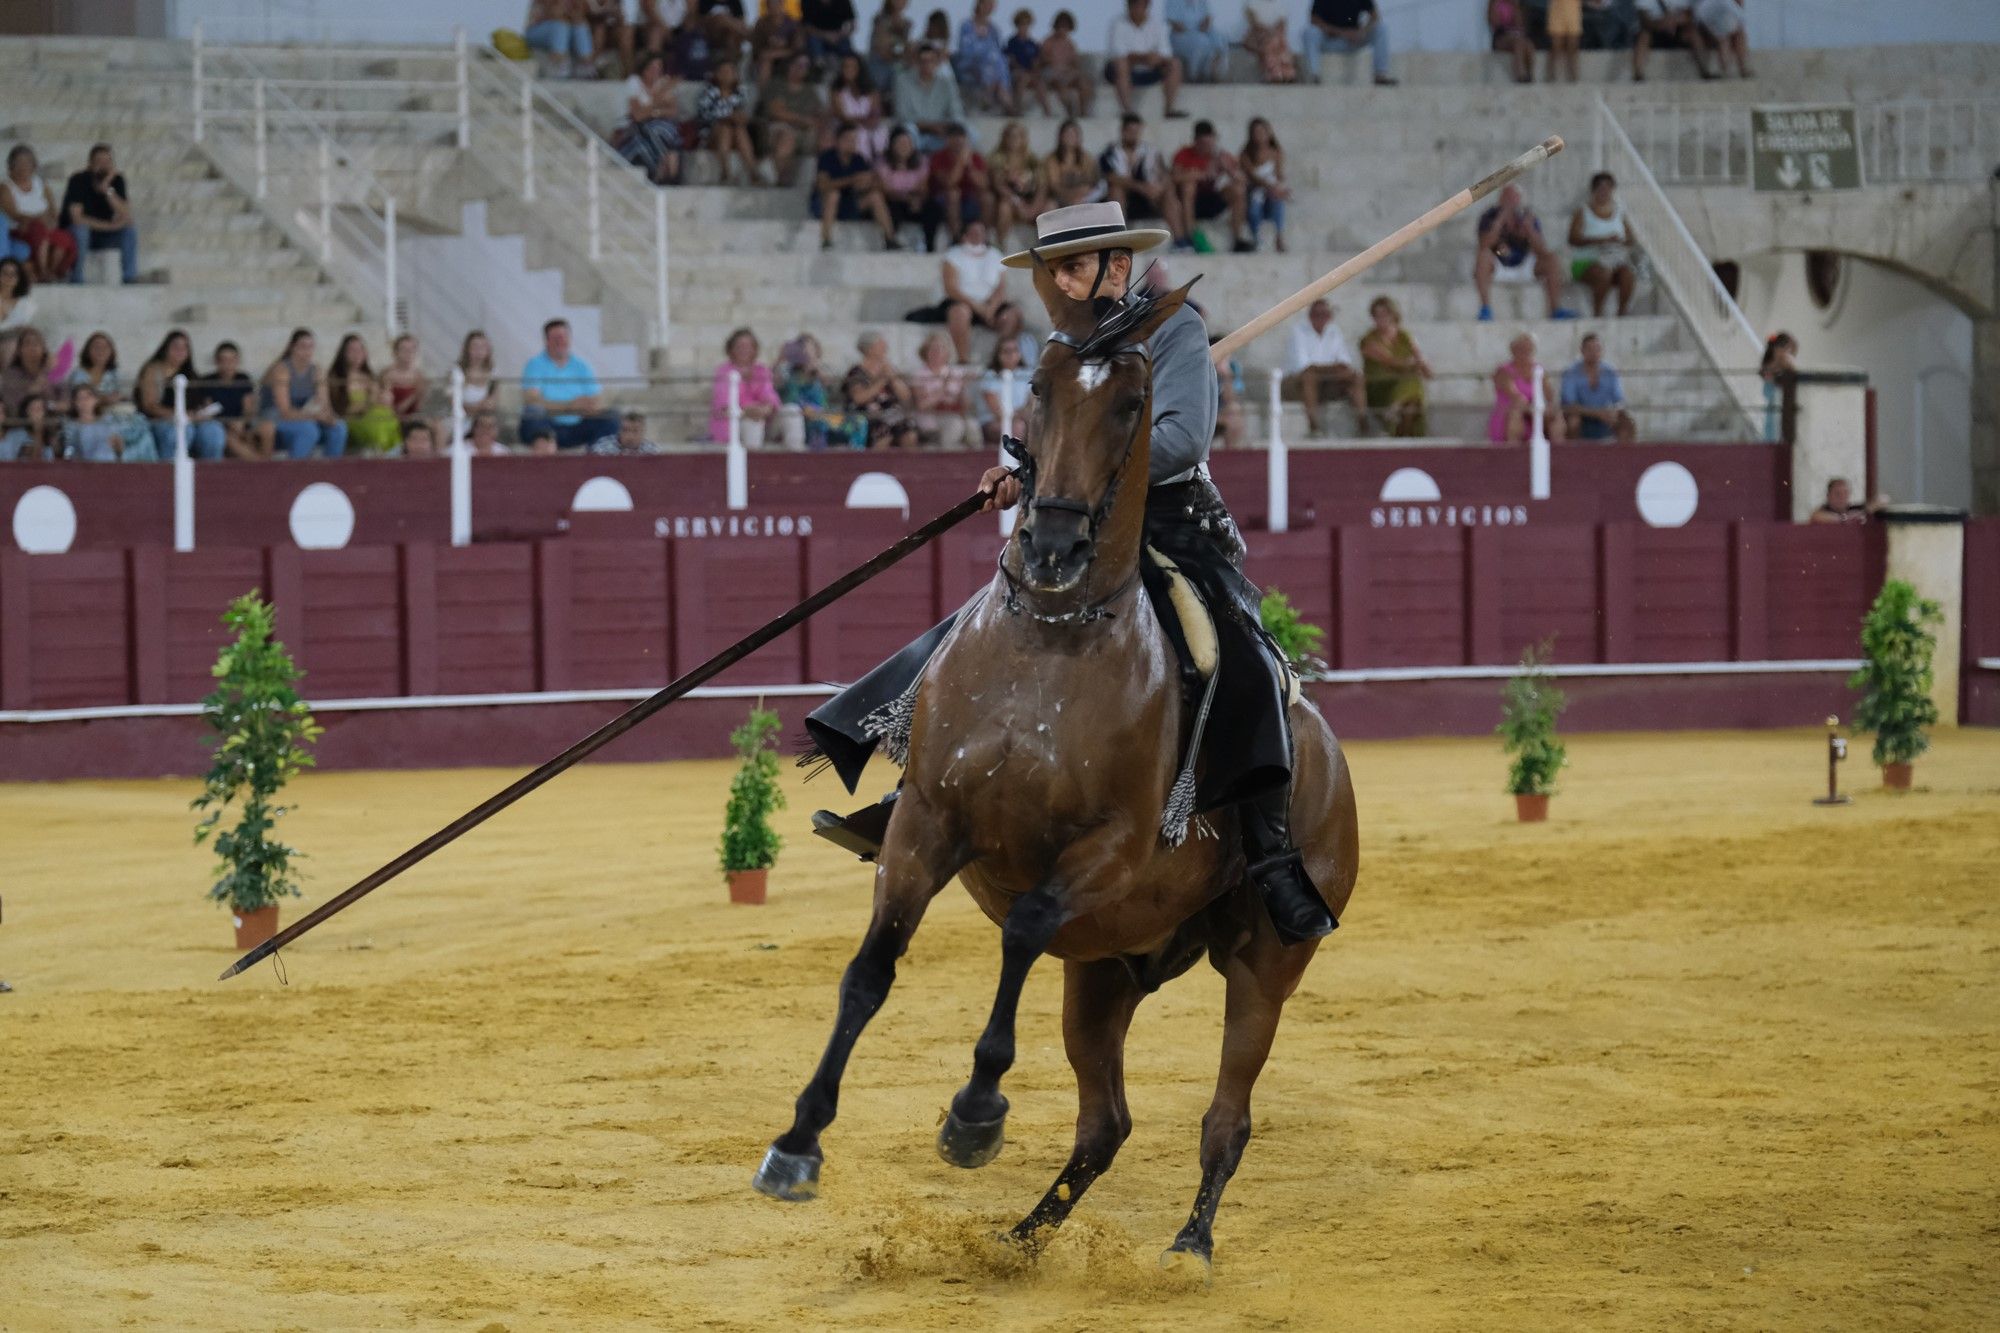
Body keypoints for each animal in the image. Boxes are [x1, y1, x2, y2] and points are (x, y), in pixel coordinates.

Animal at [752, 260, 1360, 1264]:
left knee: (1226, 1115)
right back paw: (1020, 1240)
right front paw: (798, 1141)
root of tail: (1333, 761)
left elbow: (1023, 926)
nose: (1051, 542)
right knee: (1105, 1123)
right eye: (1035, 387)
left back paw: (1189, 1245)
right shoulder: (925, 824)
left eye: (1134, 402)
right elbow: (869, 972)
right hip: (1106, 971)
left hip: (1265, 964)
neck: (1048, 640)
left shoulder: (1106, 851)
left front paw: (974, 1113)